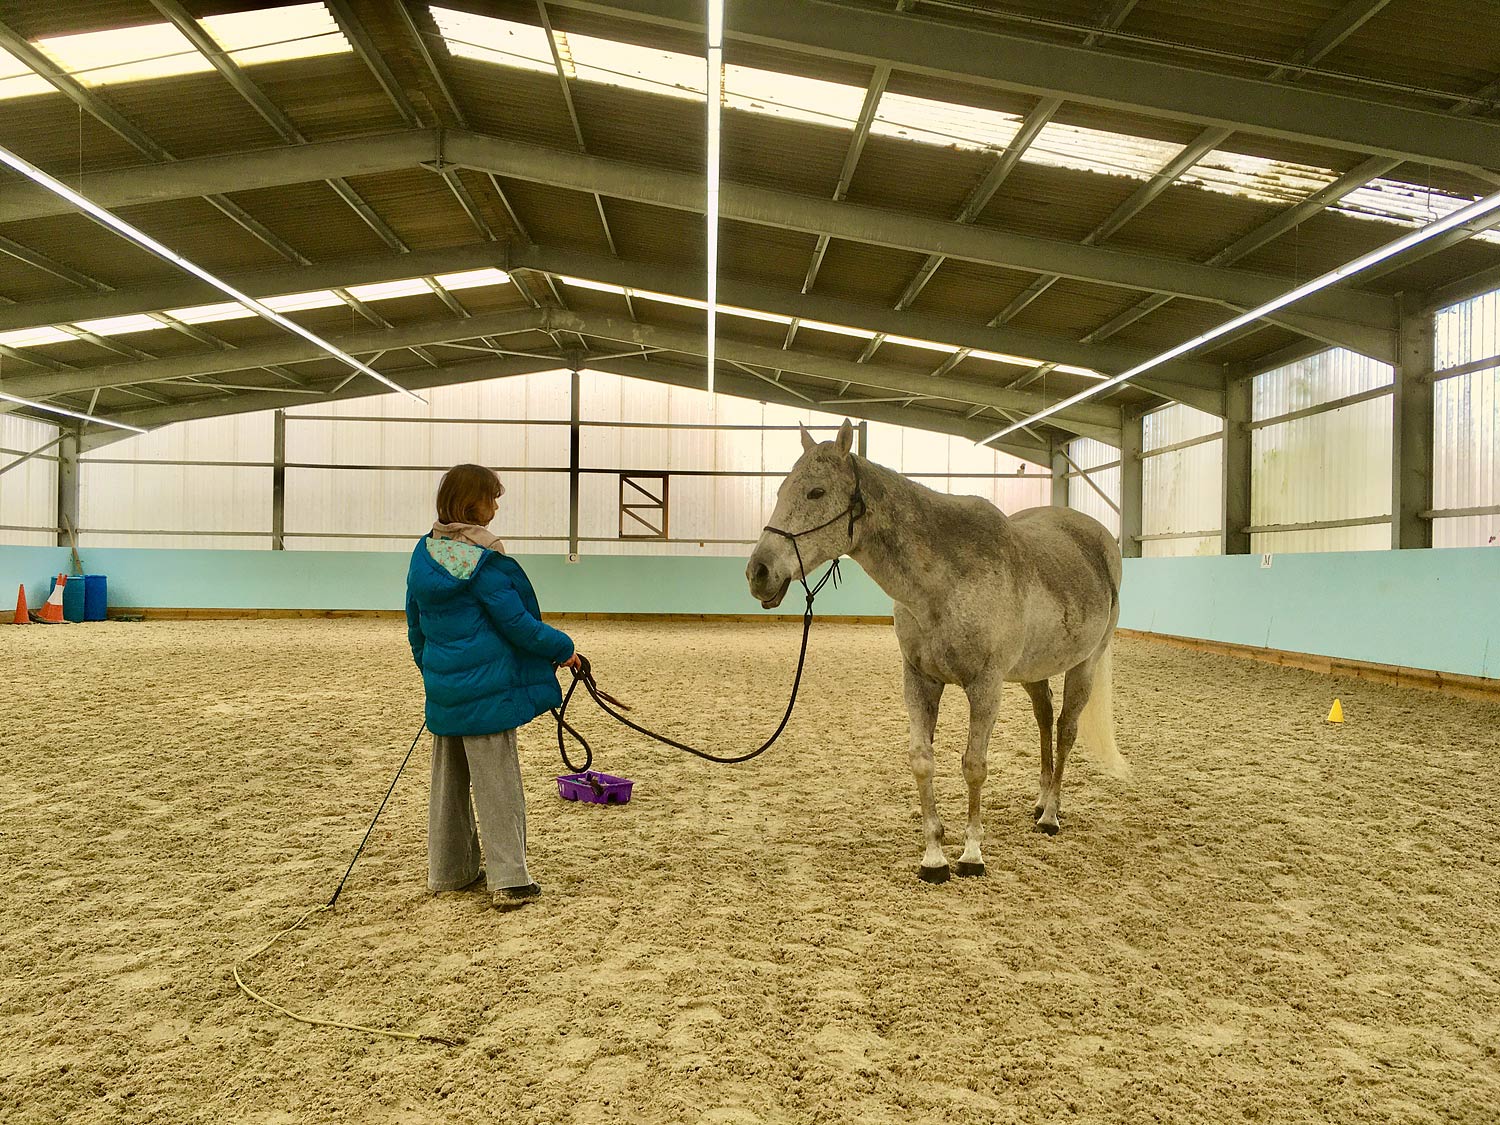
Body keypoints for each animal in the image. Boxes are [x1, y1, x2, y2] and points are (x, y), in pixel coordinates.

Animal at [750, 420, 1128, 888]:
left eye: (816, 492)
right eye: (782, 489)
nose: (758, 572)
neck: (944, 581)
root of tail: (1099, 538)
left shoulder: (985, 686)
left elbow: (974, 765)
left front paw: (971, 854)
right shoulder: (920, 679)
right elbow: (922, 761)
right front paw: (934, 856)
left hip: (1084, 666)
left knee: (1065, 729)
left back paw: (1051, 815)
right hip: (1033, 672)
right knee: (1044, 721)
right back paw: (1041, 802)